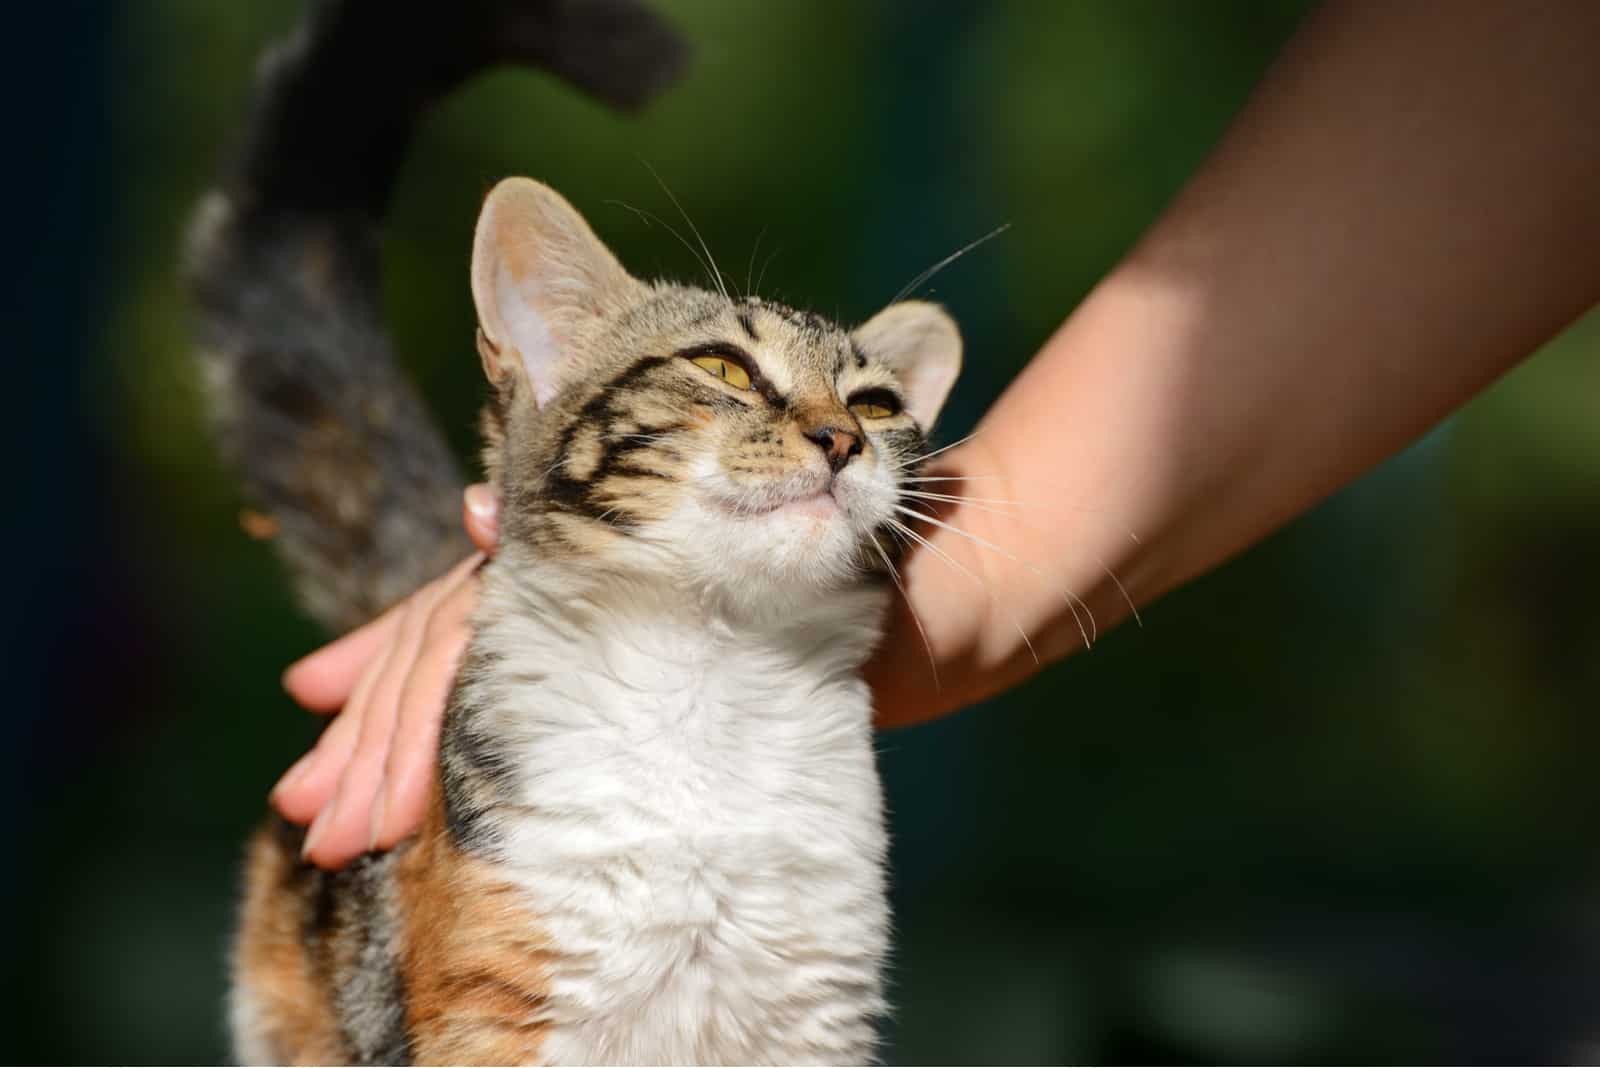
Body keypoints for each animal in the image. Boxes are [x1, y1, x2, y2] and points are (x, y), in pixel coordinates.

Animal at [190, 2, 960, 1068]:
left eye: (878, 405)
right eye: (724, 368)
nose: (841, 439)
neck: (712, 675)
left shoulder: (815, 1015)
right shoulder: (501, 1012)